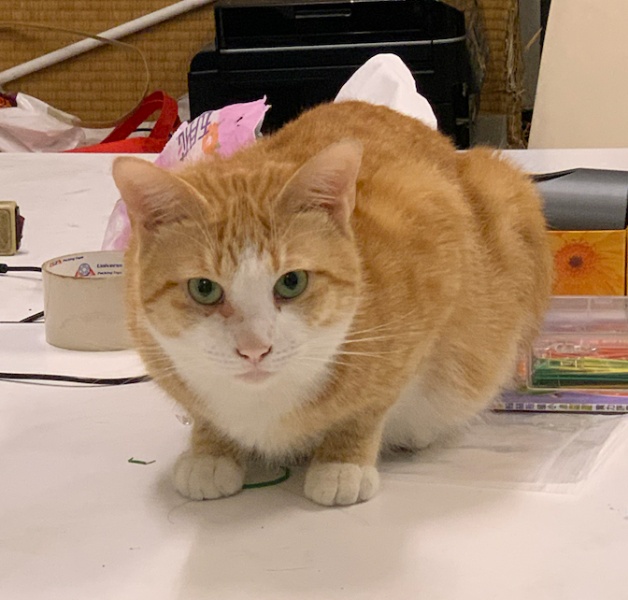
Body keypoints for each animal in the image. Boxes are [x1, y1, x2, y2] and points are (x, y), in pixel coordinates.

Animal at [112, 100, 552, 506]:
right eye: (204, 288)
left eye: (292, 282)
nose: (255, 349)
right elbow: (206, 416)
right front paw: (210, 451)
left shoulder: (435, 247)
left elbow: (369, 405)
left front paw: (342, 463)